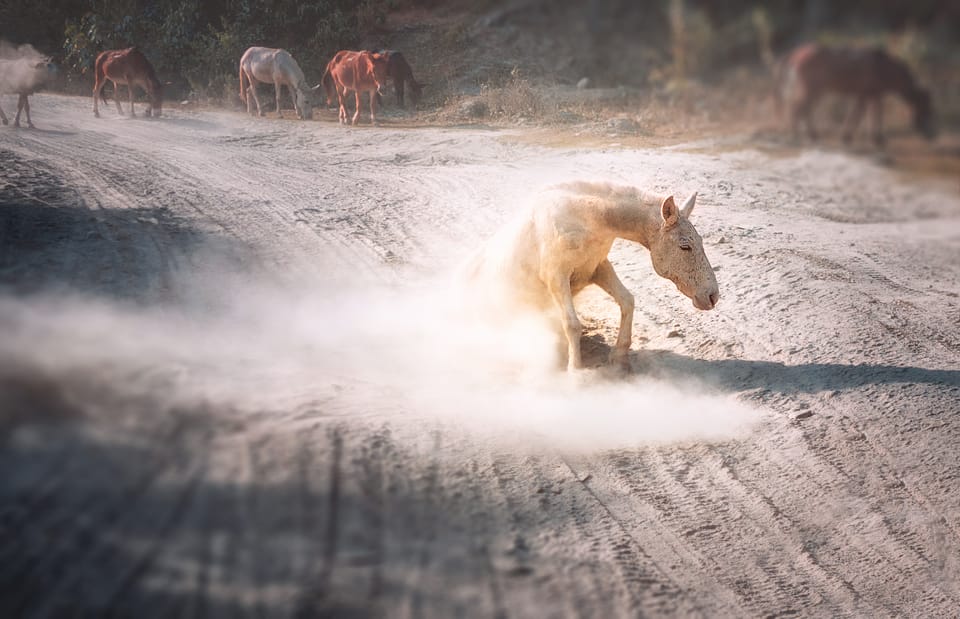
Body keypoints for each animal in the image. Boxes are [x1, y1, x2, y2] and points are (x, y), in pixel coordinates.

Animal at [464, 182, 720, 370]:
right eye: (685, 246)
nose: (712, 296)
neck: (583, 219)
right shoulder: (556, 278)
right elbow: (572, 324)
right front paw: (575, 371)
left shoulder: (598, 268)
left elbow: (627, 301)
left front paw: (619, 357)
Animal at [776, 43, 932, 147]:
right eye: (924, 105)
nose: (930, 133)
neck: (884, 67)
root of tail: (796, 54)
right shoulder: (871, 95)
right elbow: (869, 115)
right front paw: (877, 139)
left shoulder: (867, 95)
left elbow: (860, 114)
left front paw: (850, 137)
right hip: (812, 90)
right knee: (798, 109)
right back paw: (799, 135)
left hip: (816, 91)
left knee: (803, 110)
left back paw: (810, 135)